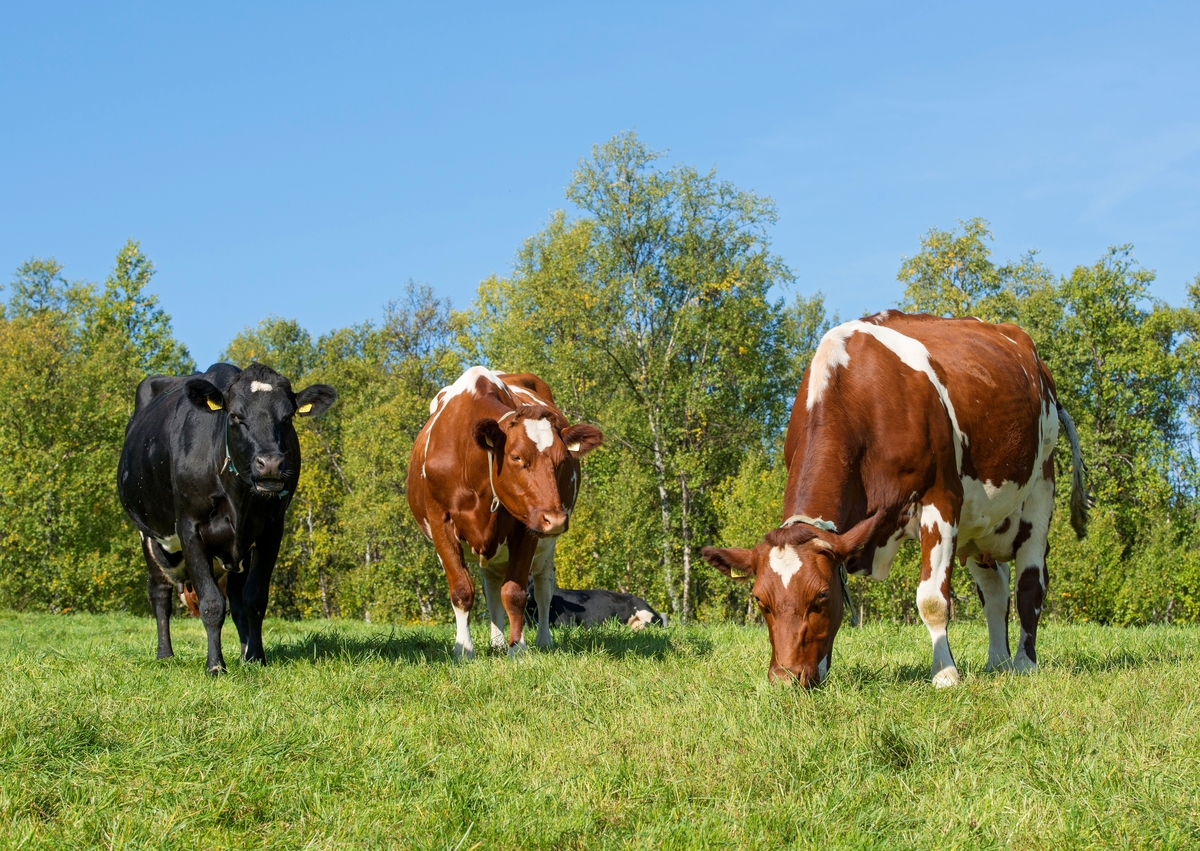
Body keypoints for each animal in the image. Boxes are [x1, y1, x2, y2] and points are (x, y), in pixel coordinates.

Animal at [117, 362, 336, 672]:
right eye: (234, 416)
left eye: (288, 417)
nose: (270, 464)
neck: (238, 500)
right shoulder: (190, 528)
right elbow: (211, 603)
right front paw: (215, 666)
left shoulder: (271, 530)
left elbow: (253, 599)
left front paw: (255, 657)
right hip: (148, 535)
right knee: (159, 593)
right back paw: (165, 655)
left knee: (236, 599)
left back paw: (244, 654)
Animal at [410, 364, 600, 657]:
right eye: (516, 457)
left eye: (562, 460)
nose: (556, 519)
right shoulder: (439, 521)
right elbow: (462, 590)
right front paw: (463, 650)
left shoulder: (528, 526)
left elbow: (515, 592)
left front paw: (518, 649)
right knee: (491, 588)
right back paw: (497, 642)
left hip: (545, 546)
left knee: (543, 589)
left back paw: (541, 640)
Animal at [700, 314, 1089, 686]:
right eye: (759, 600)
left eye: (821, 596)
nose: (785, 678)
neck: (858, 396)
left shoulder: (942, 500)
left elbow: (932, 599)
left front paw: (945, 675)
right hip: (981, 523)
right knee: (995, 591)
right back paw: (998, 662)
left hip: (1041, 483)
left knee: (1029, 585)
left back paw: (1024, 663)